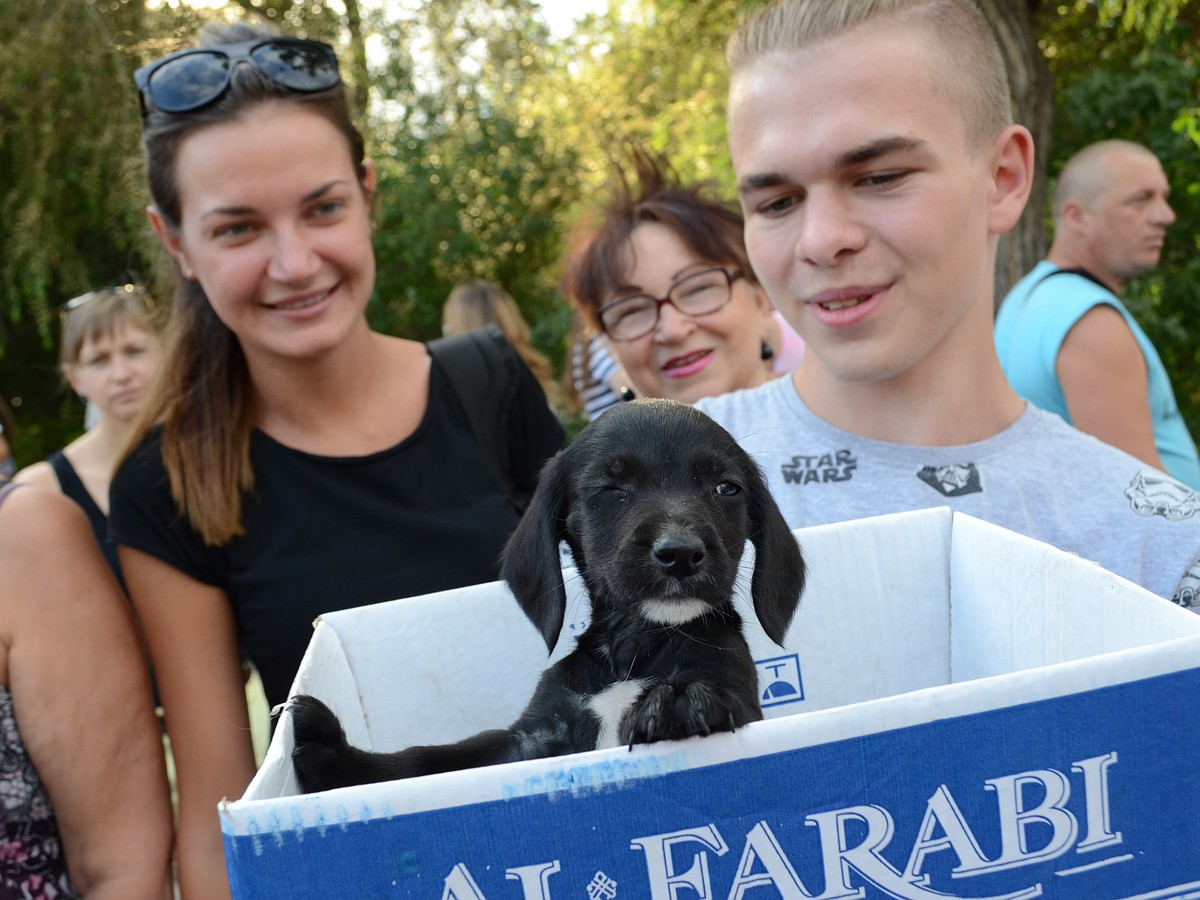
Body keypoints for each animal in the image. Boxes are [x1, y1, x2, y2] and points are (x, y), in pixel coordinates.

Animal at [290, 398, 806, 792]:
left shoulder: (742, 699)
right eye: (612, 487)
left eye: (726, 488)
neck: (634, 651)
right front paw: (340, 758)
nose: (680, 553)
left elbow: (717, 700)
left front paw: (677, 705)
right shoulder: (529, 742)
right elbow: (431, 759)